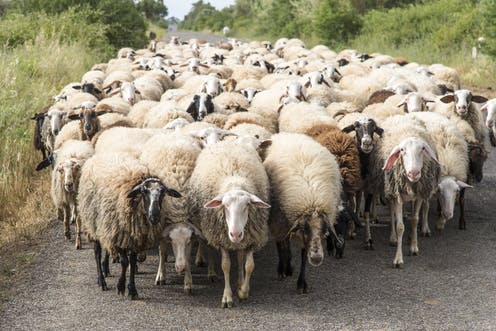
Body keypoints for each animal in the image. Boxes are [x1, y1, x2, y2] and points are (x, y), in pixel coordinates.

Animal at [79, 153, 182, 298]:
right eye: (144, 192)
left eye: (163, 193)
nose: (154, 216)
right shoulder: (120, 234)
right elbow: (124, 262)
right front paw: (121, 286)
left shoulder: (134, 238)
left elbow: (132, 263)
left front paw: (132, 289)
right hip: (93, 222)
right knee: (97, 252)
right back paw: (101, 281)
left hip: (106, 226)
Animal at [264, 132, 340, 294]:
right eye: (304, 228)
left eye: (325, 229)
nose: (317, 258)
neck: (311, 198)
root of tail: (287, 134)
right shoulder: (280, 221)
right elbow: (281, 245)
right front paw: (283, 269)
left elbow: (304, 255)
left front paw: (301, 283)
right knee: (282, 243)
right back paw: (285, 267)